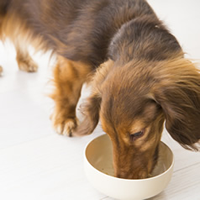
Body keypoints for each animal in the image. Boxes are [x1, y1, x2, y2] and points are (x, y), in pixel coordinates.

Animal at [0, 0, 200, 178]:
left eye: (138, 133)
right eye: (106, 132)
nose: (122, 178)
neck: (127, 26)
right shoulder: (72, 63)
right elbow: (69, 94)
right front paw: (65, 119)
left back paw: (24, 60)